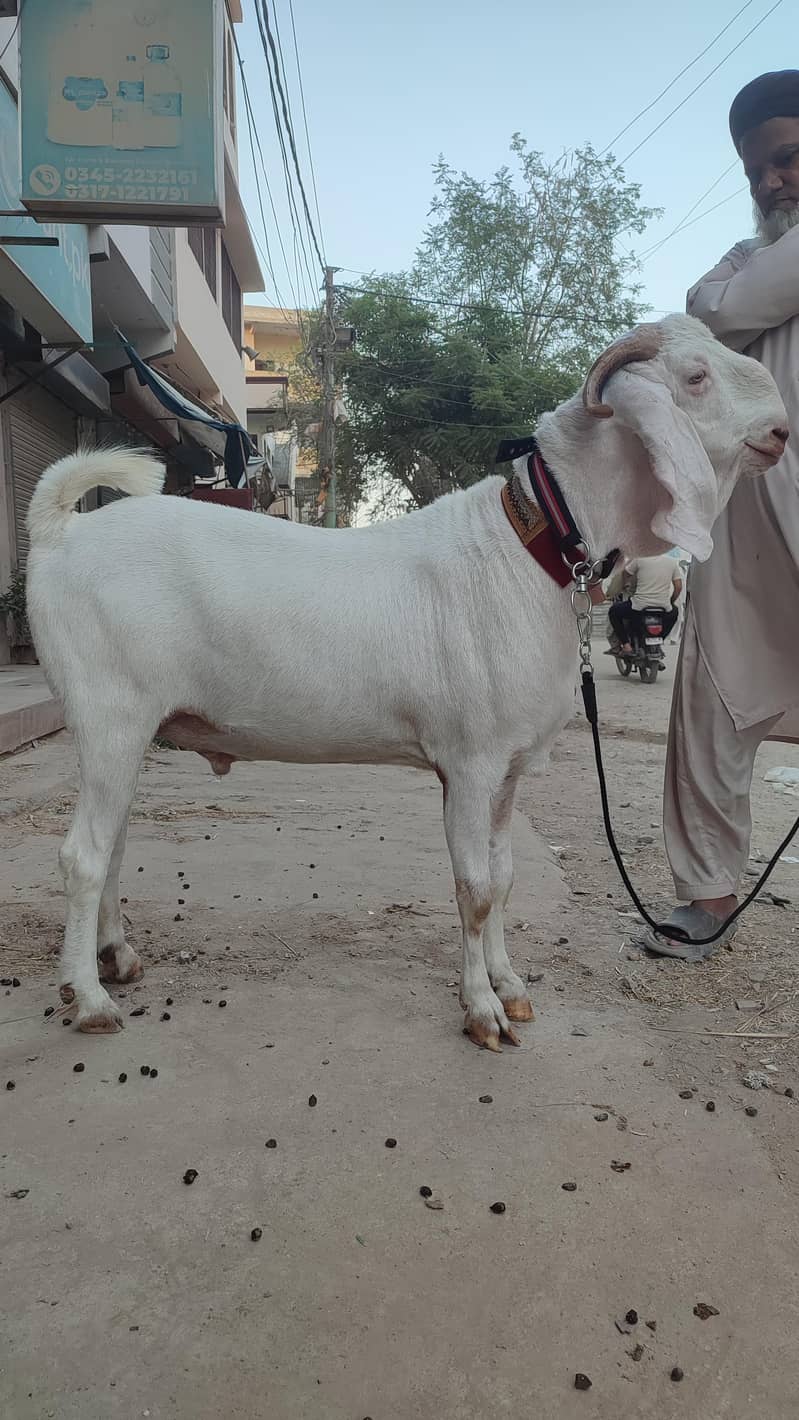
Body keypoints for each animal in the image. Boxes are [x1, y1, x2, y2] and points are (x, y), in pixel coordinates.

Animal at [26, 315, 787, 1046]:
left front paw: (511, 985)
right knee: (82, 855)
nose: (780, 430)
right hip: (109, 713)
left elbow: (505, 879)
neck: (526, 549)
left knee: (113, 842)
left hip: (130, 729)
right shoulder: (470, 761)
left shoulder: (509, 769)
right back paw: (89, 999)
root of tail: (61, 534)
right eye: (694, 377)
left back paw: (117, 957)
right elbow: (474, 888)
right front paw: (482, 1011)